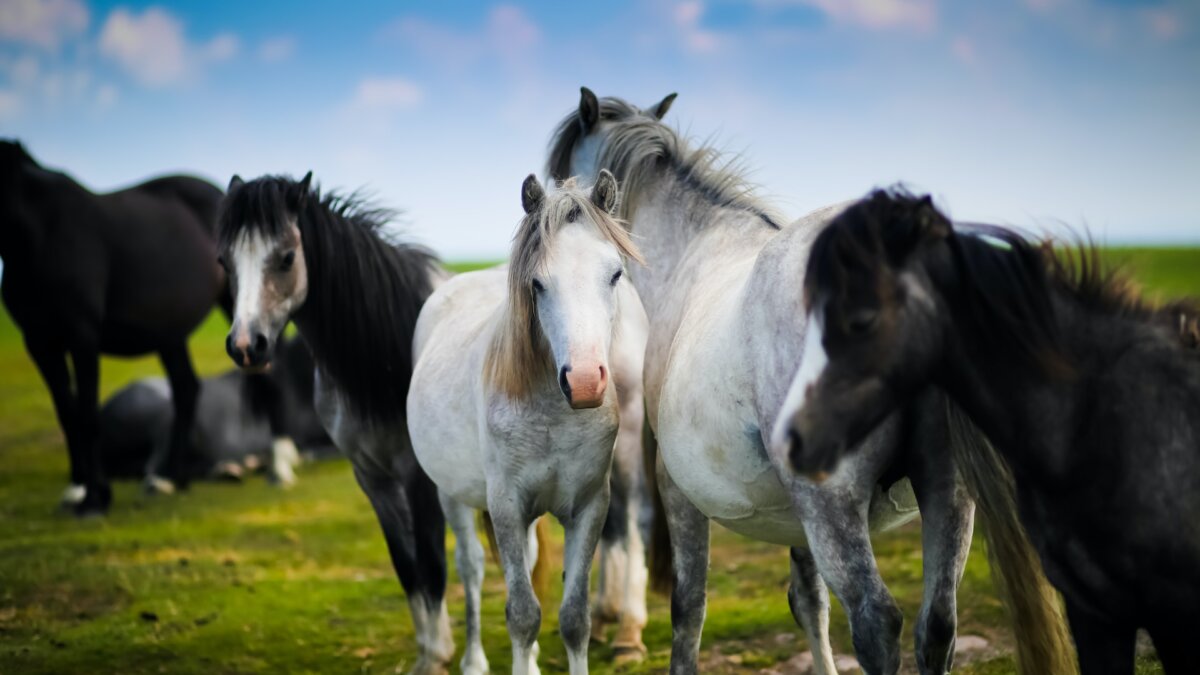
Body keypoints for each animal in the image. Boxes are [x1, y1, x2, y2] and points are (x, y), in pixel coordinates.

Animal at [0, 139, 225, 511]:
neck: (41, 233)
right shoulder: (39, 341)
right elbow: (67, 413)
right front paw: (77, 488)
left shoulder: (82, 336)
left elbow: (88, 415)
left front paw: (95, 498)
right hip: (169, 333)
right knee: (186, 388)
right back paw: (171, 478)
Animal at [405, 172, 648, 672]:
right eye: (537, 283)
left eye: (615, 274)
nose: (584, 382)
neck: (553, 415)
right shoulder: (506, 507)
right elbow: (521, 614)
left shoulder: (588, 506)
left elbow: (574, 617)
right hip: (451, 495)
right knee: (472, 568)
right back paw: (474, 660)